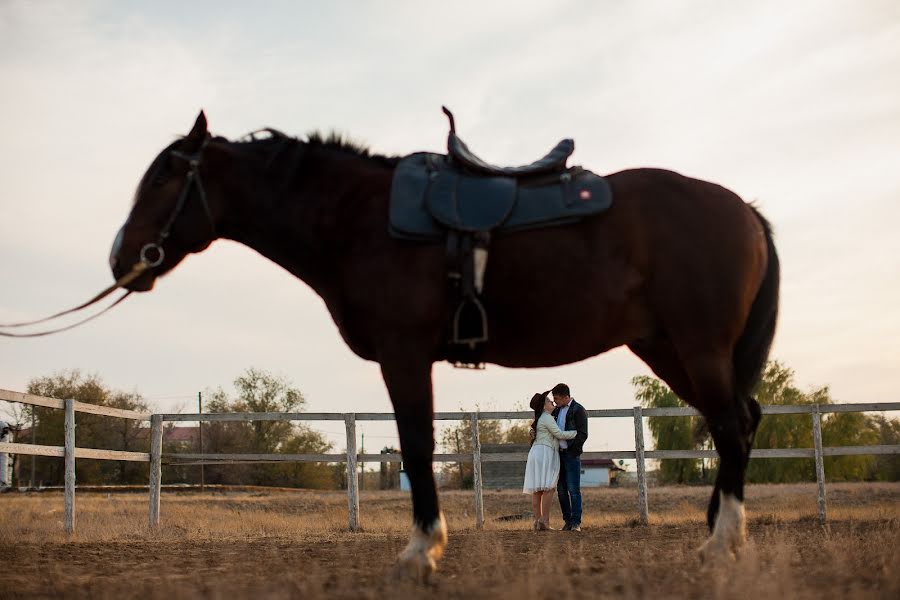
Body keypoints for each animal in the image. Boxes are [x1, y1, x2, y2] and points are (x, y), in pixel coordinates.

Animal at [109, 111, 776, 576]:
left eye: (166, 175)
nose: (121, 258)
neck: (359, 218)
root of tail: (743, 209)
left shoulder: (404, 354)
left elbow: (416, 445)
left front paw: (421, 551)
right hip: (667, 348)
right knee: (739, 421)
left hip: (697, 346)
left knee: (732, 427)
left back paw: (721, 543)